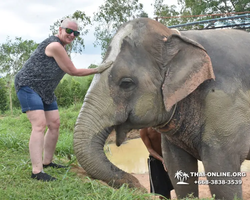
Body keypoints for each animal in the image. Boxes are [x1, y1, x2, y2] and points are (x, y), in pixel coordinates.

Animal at [73, 17, 250, 200]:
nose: (138, 186)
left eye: (126, 83)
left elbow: (222, 172)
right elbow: (176, 166)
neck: (178, 35)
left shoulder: (224, 104)